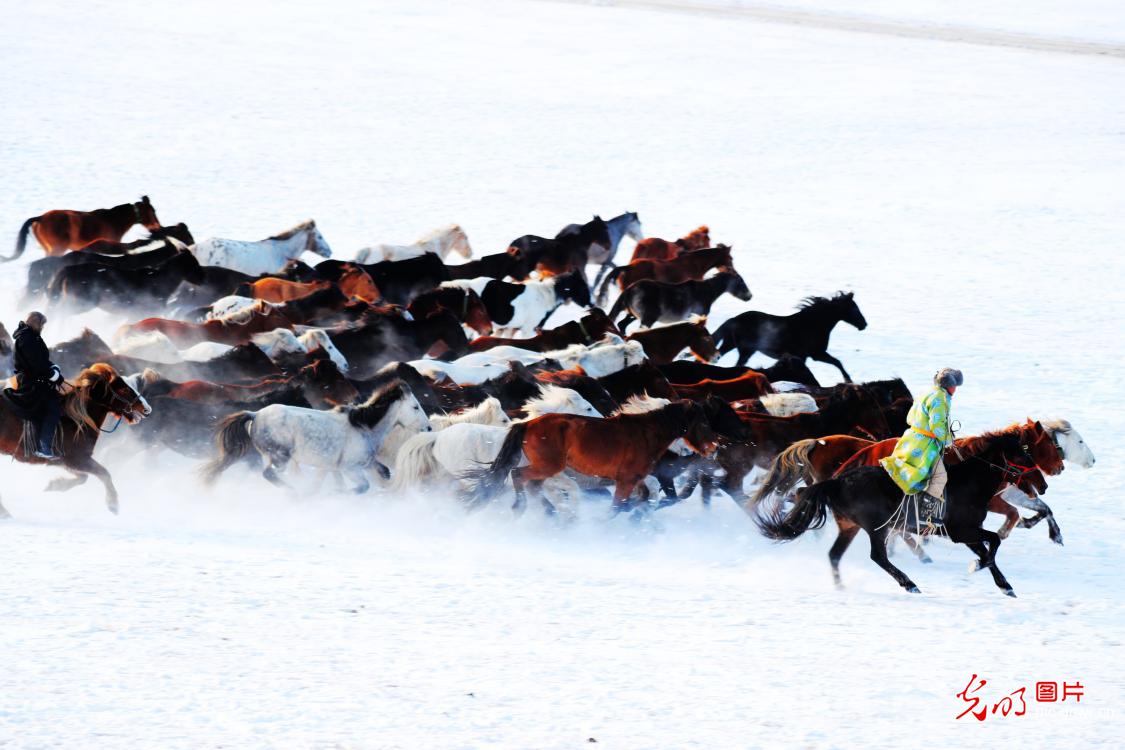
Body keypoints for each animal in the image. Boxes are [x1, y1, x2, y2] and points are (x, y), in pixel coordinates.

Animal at [0, 364, 150, 517]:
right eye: (124, 389)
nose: (147, 409)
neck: (75, 419)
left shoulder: (65, 461)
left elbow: (83, 478)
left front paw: (54, 485)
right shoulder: (77, 458)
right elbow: (104, 473)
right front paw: (113, 504)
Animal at [202, 380, 429, 492]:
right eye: (415, 407)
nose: (428, 428)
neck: (363, 427)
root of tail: (255, 414)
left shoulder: (339, 467)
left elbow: (379, 472)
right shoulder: (350, 468)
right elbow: (361, 487)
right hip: (280, 457)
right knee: (269, 474)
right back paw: (296, 493)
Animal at [607, 270, 752, 332]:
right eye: (741, 282)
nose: (749, 296)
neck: (705, 292)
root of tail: (629, 289)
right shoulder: (698, 316)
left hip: (633, 315)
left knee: (621, 325)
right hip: (648, 318)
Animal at [713, 291, 867, 381]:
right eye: (854, 308)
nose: (864, 324)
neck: (814, 323)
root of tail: (734, 319)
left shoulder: (813, 355)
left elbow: (836, 362)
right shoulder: (814, 354)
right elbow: (837, 362)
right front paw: (848, 380)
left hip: (731, 344)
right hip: (746, 350)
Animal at [754, 431, 1040, 596]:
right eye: (1021, 455)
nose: (1041, 484)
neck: (970, 482)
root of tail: (837, 481)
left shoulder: (965, 534)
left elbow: (988, 550)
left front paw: (1004, 585)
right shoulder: (961, 531)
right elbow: (993, 542)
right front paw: (979, 568)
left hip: (850, 527)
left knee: (834, 555)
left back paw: (841, 586)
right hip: (876, 527)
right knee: (877, 556)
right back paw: (909, 584)